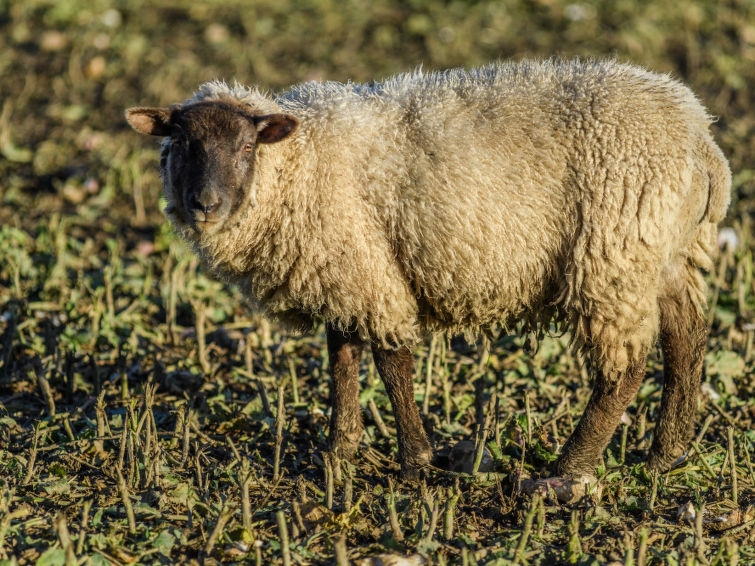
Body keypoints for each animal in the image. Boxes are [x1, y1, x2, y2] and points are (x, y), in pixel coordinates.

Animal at [125, 60, 732, 482]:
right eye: (180, 143)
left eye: (248, 145)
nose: (204, 205)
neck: (301, 161)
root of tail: (702, 139)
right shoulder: (346, 268)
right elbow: (341, 358)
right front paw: (340, 451)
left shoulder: (368, 272)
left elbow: (392, 365)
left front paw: (416, 460)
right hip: (665, 255)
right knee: (688, 337)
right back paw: (666, 455)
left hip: (613, 257)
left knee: (623, 371)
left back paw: (568, 468)